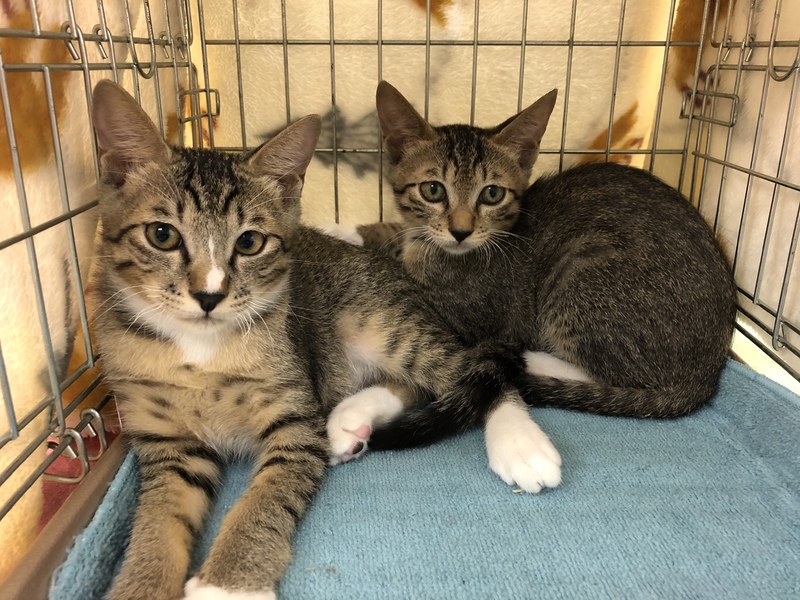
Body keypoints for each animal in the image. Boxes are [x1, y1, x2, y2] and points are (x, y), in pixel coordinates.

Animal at [90, 79, 551, 599]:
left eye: (249, 242)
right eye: (162, 234)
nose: (210, 295)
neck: (199, 350)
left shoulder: (294, 420)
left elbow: (269, 495)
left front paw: (229, 582)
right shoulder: (165, 442)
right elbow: (157, 520)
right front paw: (144, 581)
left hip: (376, 320)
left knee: (468, 368)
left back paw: (521, 442)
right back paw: (350, 422)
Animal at [324, 80, 737, 453]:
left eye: (492, 193)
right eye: (433, 190)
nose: (461, 231)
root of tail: (711, 367)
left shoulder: (462, 318)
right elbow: (396, 231)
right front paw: (343, 229)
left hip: (579, 271)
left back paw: (532, 360)